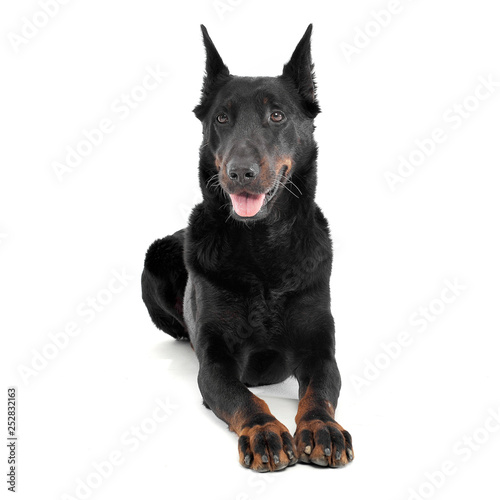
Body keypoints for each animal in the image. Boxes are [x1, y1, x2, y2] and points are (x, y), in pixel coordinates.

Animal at [141, 24, 352, 472]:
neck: (262, 249)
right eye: (222, 118)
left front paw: (320, 427)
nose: (240, 173)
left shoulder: (319, 350)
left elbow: (319, 393)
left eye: (277, 116)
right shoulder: (216, 361)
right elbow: (246, 398)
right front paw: (265, 432)